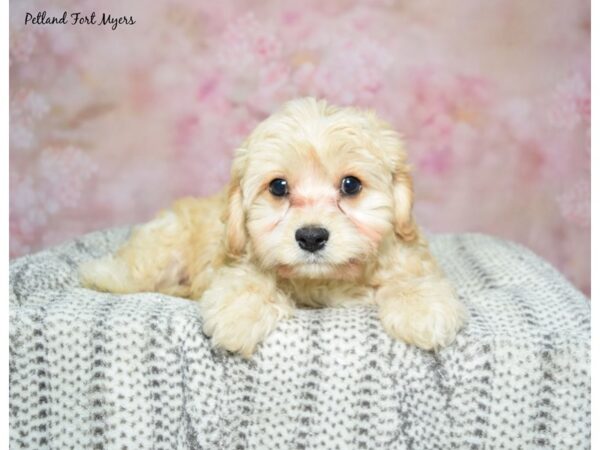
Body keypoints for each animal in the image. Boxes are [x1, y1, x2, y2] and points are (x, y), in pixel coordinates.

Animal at [79, 97, 466, 356]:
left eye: (351, 185)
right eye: (278, 187)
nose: (311, 237)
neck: (322, 280)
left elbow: (409, 276)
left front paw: (421, 308)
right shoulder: (235, 257)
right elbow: (246, 279)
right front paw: (239, 314)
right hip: (162, 248)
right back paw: (102, 274)